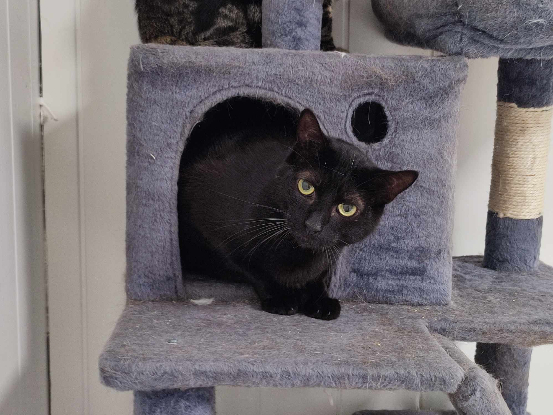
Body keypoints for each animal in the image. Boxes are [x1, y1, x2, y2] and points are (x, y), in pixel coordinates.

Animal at [178, 98, 418, 320]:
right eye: (306, 187)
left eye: (347, 208)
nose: (313, 225)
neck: (297, 254)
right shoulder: (206, 230)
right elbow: (247, 265)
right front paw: (282, 296)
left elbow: (320, 274)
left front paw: (320, 299)